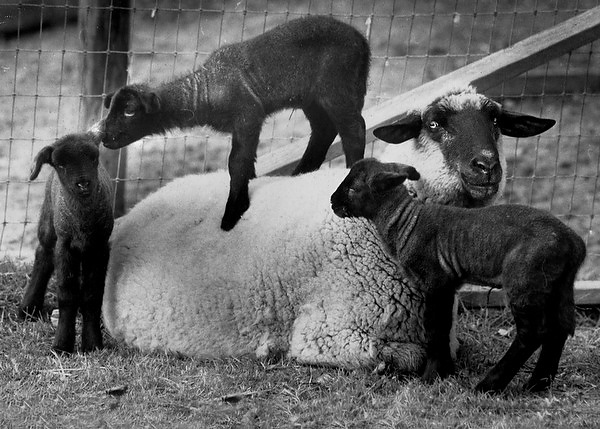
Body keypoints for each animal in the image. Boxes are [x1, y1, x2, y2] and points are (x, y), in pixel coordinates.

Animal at [20, 132, 114, 353]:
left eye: (94, 158)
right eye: (60, 164)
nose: (83, 184)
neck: (82, 222)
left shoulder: (99, 247)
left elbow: (92, 295)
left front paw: (93, 344)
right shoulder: (65, 246)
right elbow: (66, 295)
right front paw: (62, 345)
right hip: (49, 221)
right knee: (43, 254)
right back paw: (28, 309)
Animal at [100, 15, 370, 231]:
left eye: (129, 111)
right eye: (110, 108)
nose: (103, 137)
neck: (204, 91)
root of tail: (361, 41)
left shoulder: (248, 114)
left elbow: (236, 163)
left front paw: (232, 214)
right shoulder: (243, 123)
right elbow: (245, 161)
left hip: (336, 87)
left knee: (354, 129)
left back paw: (349, 174)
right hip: (312, 98)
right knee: (324, 130)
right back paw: (300, 174)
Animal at [330, 158, 586, 393]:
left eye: (353, 189)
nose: (333, 203)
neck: (406, 222)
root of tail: (575, 243)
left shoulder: (434, 280)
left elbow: (435, 328)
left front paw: (431, 376)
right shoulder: (447, 284)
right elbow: (444, 325)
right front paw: (444, 372)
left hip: (525, 281)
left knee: (532, 334)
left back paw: (489, 385)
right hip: (558, 284)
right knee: (560, 328)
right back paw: (537, 384)